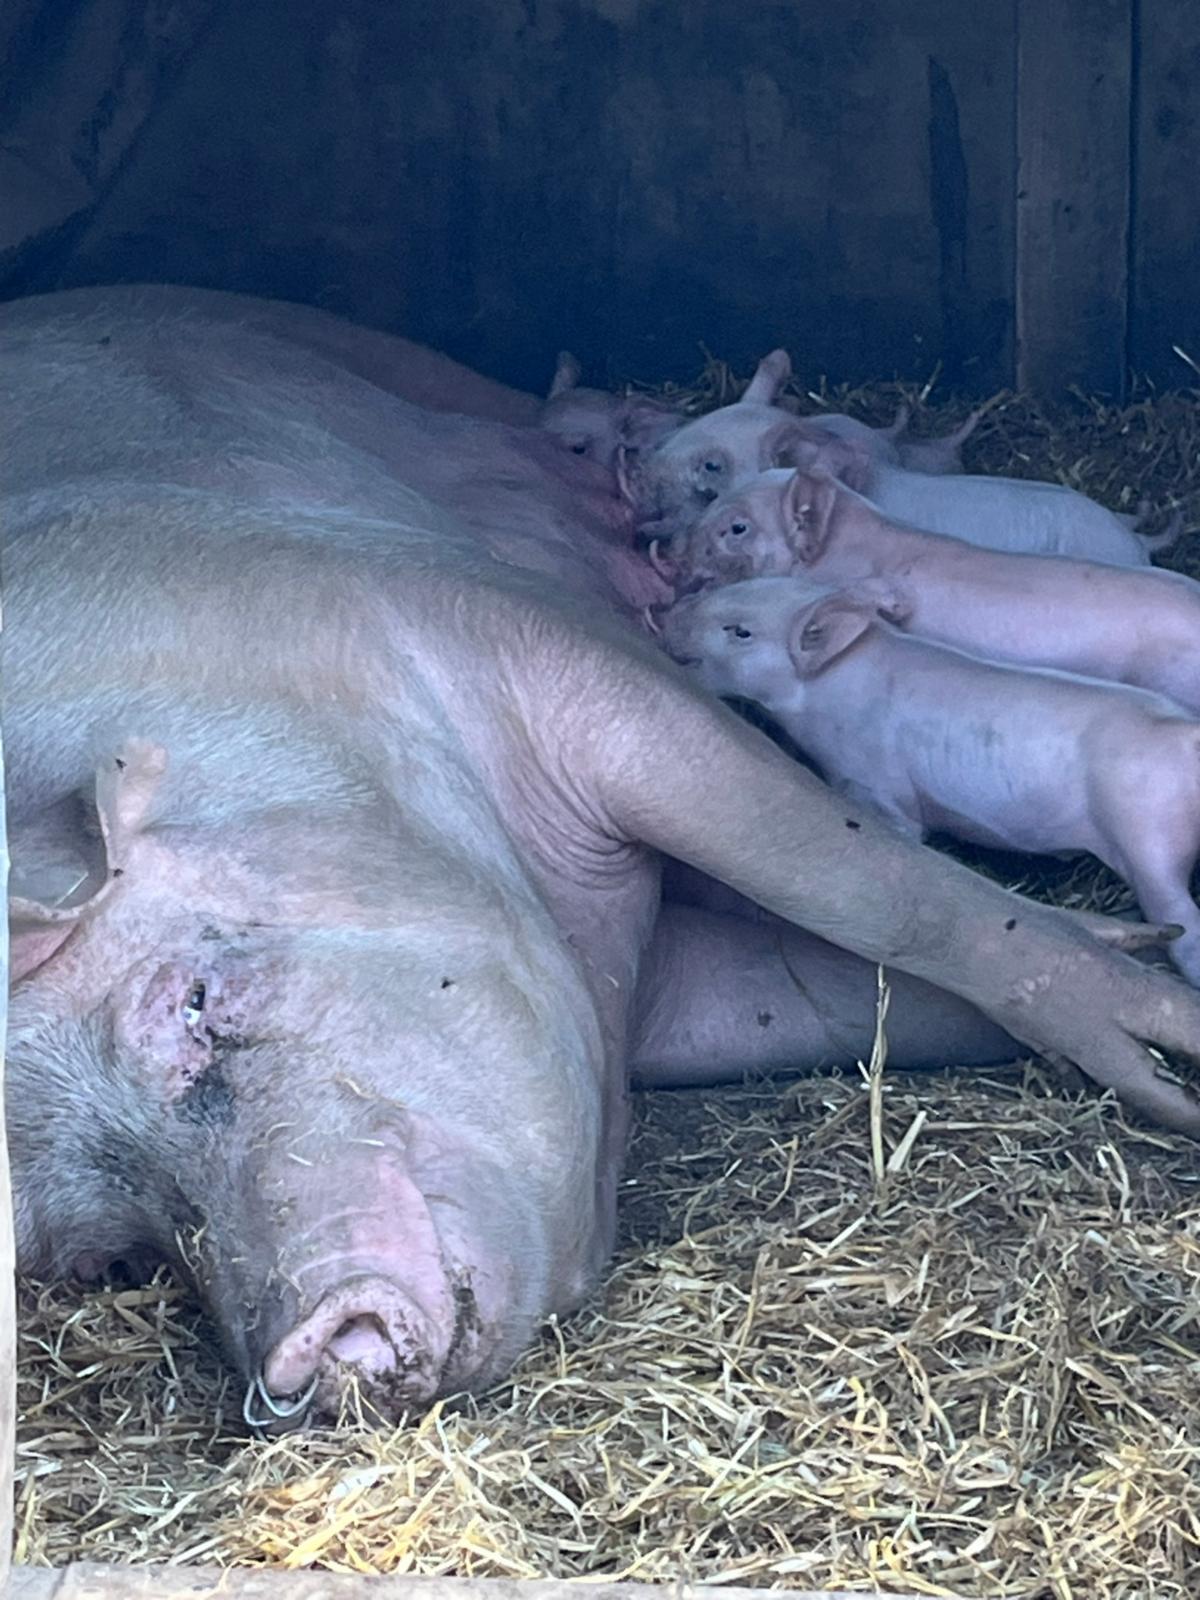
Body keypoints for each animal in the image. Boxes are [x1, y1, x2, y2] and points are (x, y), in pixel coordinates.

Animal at [663, 578, 1200, 985]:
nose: (666, 611)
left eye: (741, 631)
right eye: (732, 585)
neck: (824, 693)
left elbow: (902, 838)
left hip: (1147, 841)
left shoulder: (878, 786)